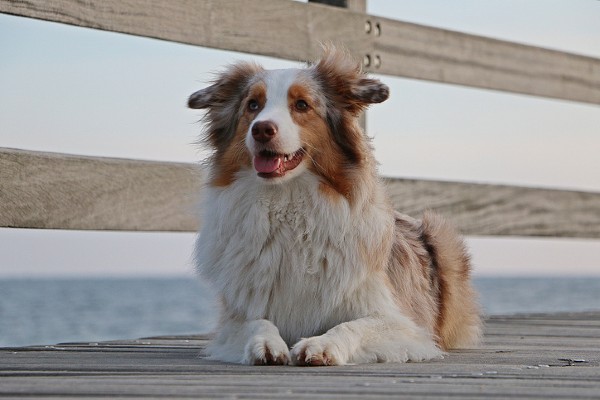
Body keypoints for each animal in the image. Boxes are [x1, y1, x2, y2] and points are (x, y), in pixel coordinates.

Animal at [190, 47, 480, 366]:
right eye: (253, 105)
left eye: (301, 105)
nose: (261, 129)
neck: (289, 206)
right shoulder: (234, 319)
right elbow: (258, 322)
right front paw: (266, 344)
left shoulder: (403, 323)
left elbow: (353, 326)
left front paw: (321, 345)